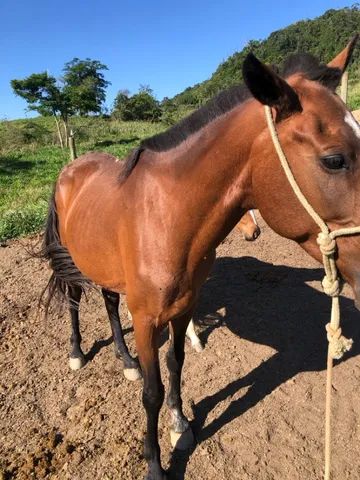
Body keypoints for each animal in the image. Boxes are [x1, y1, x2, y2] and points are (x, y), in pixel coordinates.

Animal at [40, 38, 358, 480]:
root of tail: (70, 168)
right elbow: (152, 392)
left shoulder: (184, 306)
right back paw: (76, 353)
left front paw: (180, 426)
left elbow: (176, 365)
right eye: (334, 160)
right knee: (73, 299)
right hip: (72, 262)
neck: (166, 216)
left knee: (108, 302)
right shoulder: (146, 319)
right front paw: (155, 464)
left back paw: (125, 360)